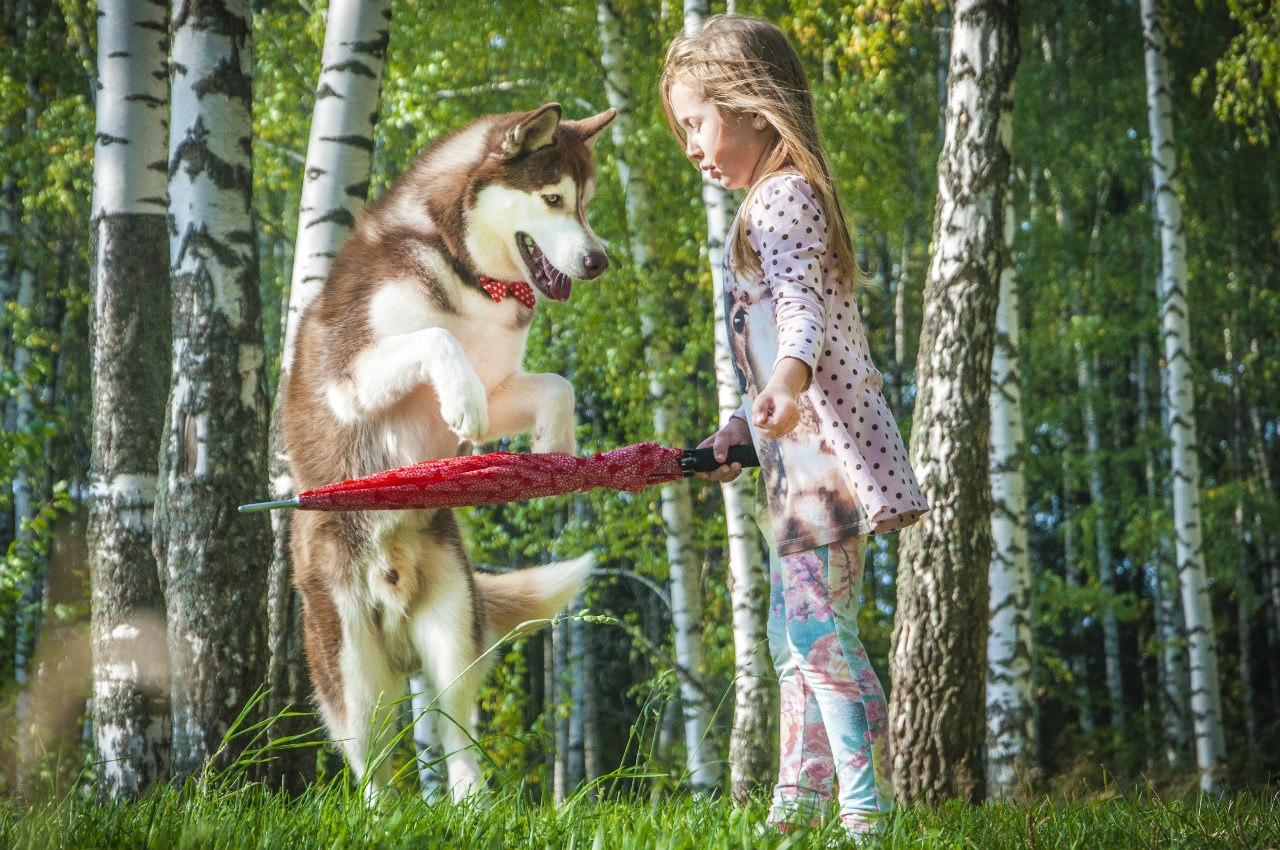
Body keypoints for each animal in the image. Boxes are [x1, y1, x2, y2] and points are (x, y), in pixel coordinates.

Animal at [281, 103, 619, 798]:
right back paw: (383, 812)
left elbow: (558, 386)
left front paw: (555, 452)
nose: (599, 260)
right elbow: (439, 340)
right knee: (373, 759)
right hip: (351, 667)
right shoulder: (350, 381)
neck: (467, 272)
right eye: (553, 199)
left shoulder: (504, 380)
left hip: (452, 629)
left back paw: (474, 806)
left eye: (586, 204)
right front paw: (460, 398)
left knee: (454, 727)